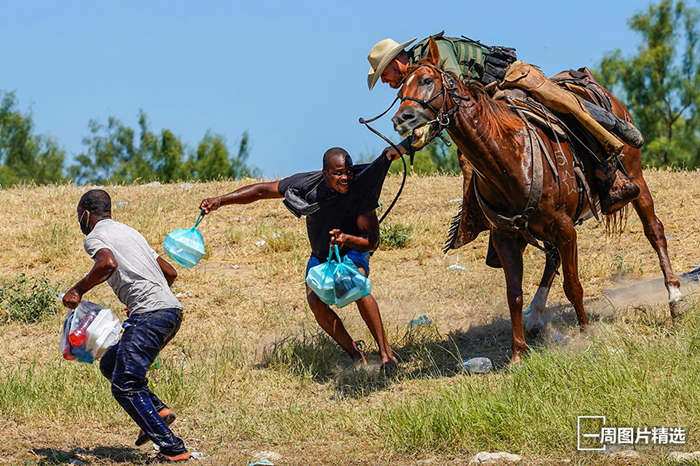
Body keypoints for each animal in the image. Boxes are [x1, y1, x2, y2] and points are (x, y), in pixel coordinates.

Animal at [394, 38, 684, 362]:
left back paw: (674, 297)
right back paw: (536, 316)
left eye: (427, 80)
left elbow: (573, 286)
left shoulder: (565, 228)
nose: (401, 119)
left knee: (654, 230)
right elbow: (514, 294)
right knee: (552, 257)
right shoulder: (506, 236)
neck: (508, 156)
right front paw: (517, 354)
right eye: (399, 91)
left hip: (635, 178)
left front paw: (586, 334)